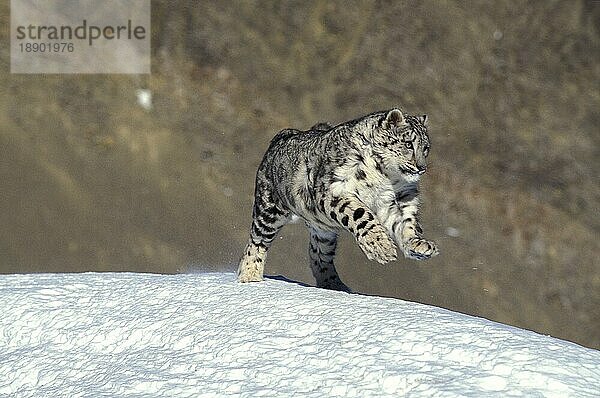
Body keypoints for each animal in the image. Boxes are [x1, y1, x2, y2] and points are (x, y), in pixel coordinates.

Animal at [237, 107, 438, 290]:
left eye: (426, 148)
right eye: (408, 144)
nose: (421, 167)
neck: (386, 177)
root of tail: (283, 134)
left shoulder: (396, 201)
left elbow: (406, 223)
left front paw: (419, 245)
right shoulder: (334, 191)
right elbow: (361, 214)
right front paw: (381, 247)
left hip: (323, 232)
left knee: (318, 255)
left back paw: (335, 285)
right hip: (269, 209)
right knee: (257, 241)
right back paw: (250, 277)